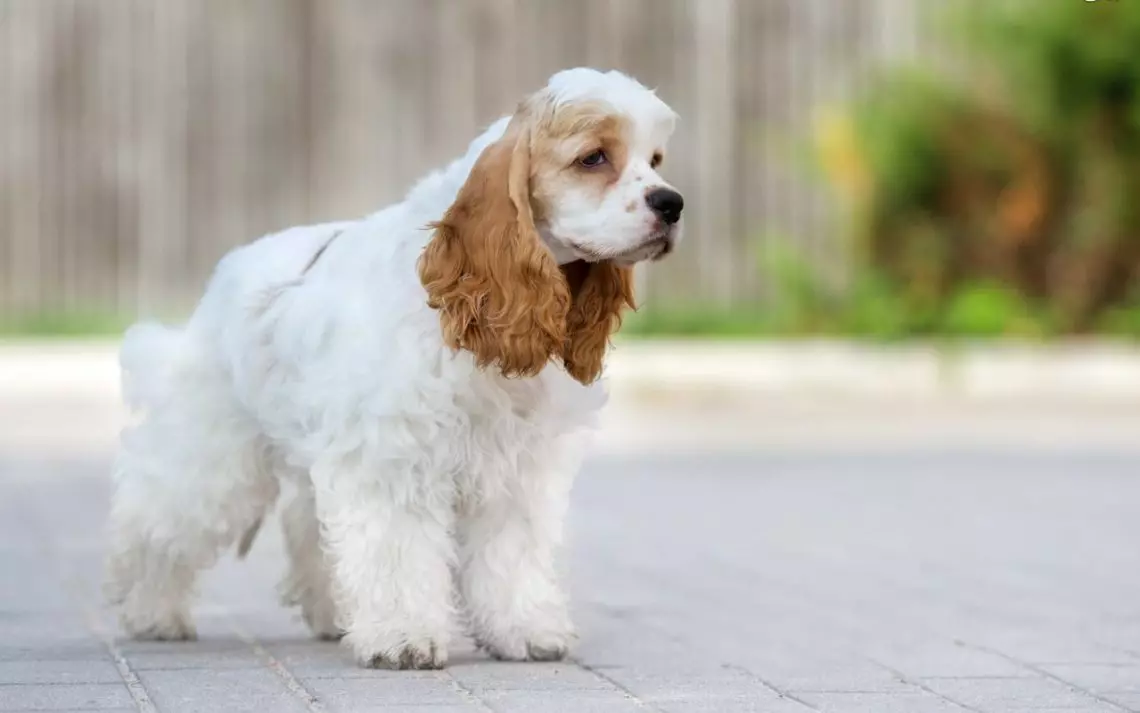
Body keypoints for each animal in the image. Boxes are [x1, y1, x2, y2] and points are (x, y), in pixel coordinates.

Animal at [102, 66, 679, 666]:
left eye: (655, 159)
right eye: (593, 157)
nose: (672, 203)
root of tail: (228, 270)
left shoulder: (515, 466)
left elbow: (510, 554)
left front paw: (523, 629)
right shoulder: (392, 454)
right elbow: (397, 550)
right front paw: (403, 636)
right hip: (215, 454)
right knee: (157, 524)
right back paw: (153, 614)